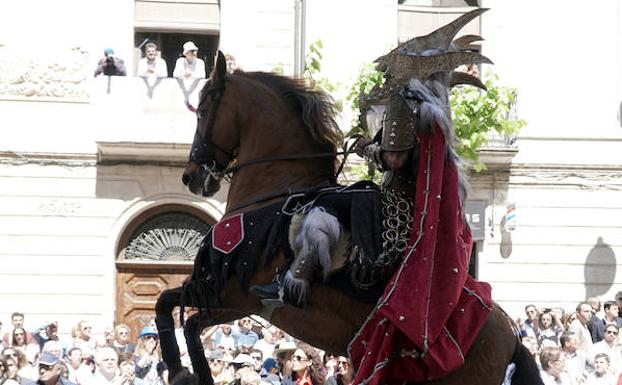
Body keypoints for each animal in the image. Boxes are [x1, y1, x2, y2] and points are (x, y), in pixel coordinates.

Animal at [155, 51, 540, 384]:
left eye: (202, 110)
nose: (191, 177)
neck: (274, 191)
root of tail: (513, 337)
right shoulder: (235, 302)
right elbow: (182, 318)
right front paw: (189, 373)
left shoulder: (231, 289)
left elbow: (171, 309)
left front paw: (181, 372)